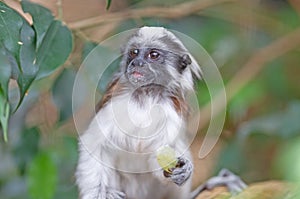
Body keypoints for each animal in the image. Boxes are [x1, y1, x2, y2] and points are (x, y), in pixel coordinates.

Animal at [75, 26, 246, 199]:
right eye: (134, 52)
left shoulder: (170, 113)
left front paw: (183, 170)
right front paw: (99, 193)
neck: (146, 95)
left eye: (153, 55)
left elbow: (159, 156)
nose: (136, 63)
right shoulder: (114, 106)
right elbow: (94, 144)